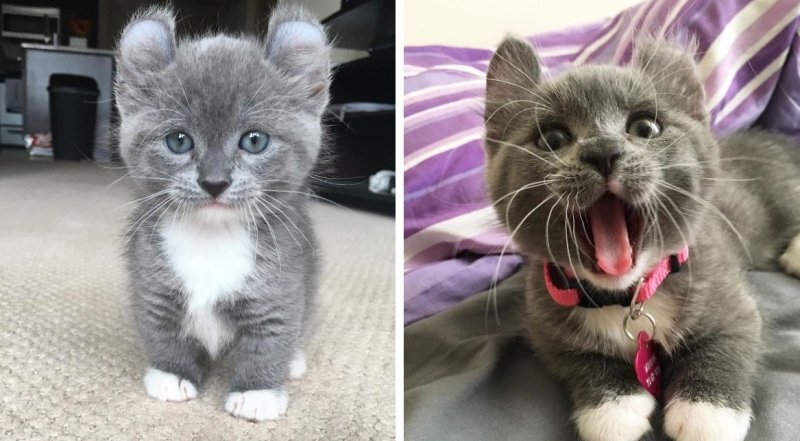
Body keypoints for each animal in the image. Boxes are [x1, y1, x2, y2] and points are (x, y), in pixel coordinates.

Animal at [113, 4, 328, 422]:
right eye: (178, 141)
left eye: (255, 140)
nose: (215, 181)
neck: (211, 236)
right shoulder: (151, 277)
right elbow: (160, 326)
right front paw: (171, 374)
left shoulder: (281, 284)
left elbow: (273, 335)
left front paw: (257, 392)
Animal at [482, 37, 800, 440]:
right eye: (552, 137)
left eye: (645, 127)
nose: (602, 150)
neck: (625, 297)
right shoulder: (542, 318)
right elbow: (574, 356)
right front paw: (612, 408)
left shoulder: (725, 290)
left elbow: (729, 338)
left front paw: (705, 411)